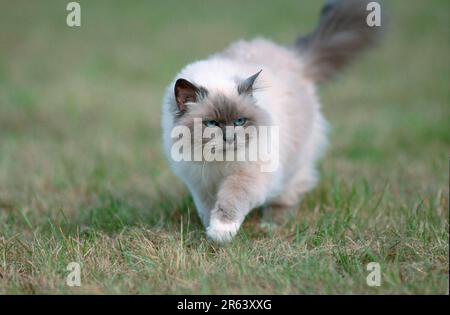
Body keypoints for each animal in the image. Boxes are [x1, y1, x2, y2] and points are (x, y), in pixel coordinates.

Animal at [160, 0, 382, 244]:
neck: (218, 163)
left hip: (290, 168)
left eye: (240, 121)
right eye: (211, 124)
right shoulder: (201, 183)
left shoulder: (248, 174)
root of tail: (295, 59)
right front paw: (208, 230)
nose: (229, 138)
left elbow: (231, 201)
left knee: (286, 197)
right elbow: (207, 209)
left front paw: (221, 232)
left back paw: (269, 225)